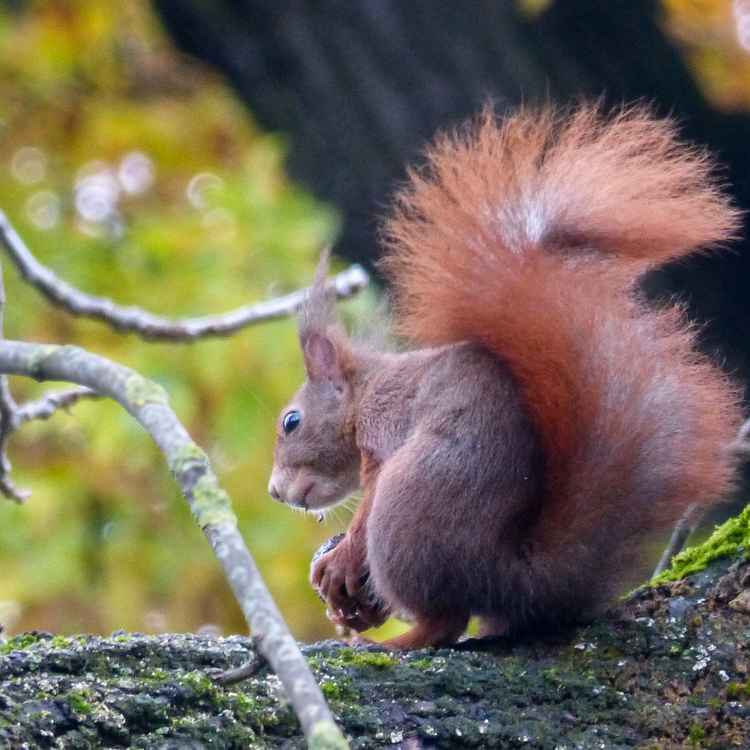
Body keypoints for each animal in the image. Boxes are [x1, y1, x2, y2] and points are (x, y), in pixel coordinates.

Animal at [267, 104, 744, 650]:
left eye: (291, 422)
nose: (275, 493)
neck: (367, 390)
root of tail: (511, 577)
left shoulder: (386, 429)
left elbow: (365, 510)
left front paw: (341, 559)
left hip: (407, 506)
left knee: (445, 621)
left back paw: (385, 644)